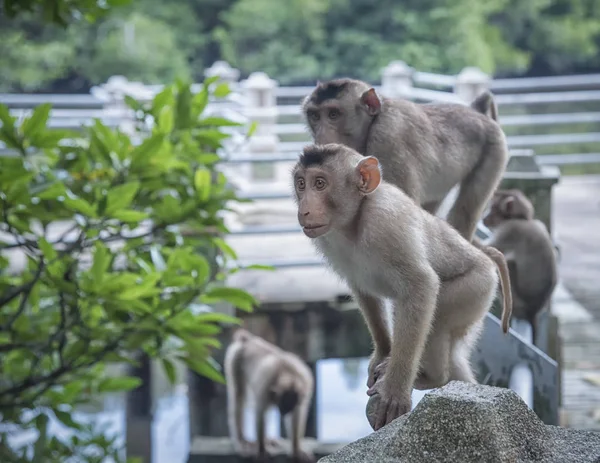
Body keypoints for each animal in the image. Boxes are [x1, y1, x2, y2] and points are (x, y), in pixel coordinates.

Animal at [225, 328, 316, 462]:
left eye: (288, 406)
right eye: (282, 404)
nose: (283, 412)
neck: (287, 373)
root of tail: (247, 340)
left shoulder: (305, 385)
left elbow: (297, 414)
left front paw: (296, 450)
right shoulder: (265, 386)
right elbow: (260, 412)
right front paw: (262, 450)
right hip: (235, 359)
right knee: (239, 395)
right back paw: (242, 441)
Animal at [290, 144, 510, 432]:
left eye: (320, 183)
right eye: (301, 184)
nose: (304, 209)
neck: (355, 220)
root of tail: (485, 260)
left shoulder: (386, 222)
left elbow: (421, 284)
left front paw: (394, 391)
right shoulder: (328, 240)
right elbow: (363, 292)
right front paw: (384, 351)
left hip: (476, 288)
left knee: (434, 318)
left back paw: (431, 377)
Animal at [302, 79, 508, 246]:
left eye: (333, 114)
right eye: (314, 116)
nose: (321, 136)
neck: (372, 124)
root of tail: (478, 113)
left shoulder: (389, 138)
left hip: (495, 149)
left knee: (466, 213)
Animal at [480, 188, 560, 344]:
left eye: (493, 209)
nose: (485, 218)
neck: (523, 218)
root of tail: (532, 312)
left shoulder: (510, 230)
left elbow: (489, 247)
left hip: (518, 304)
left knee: (509, 263)